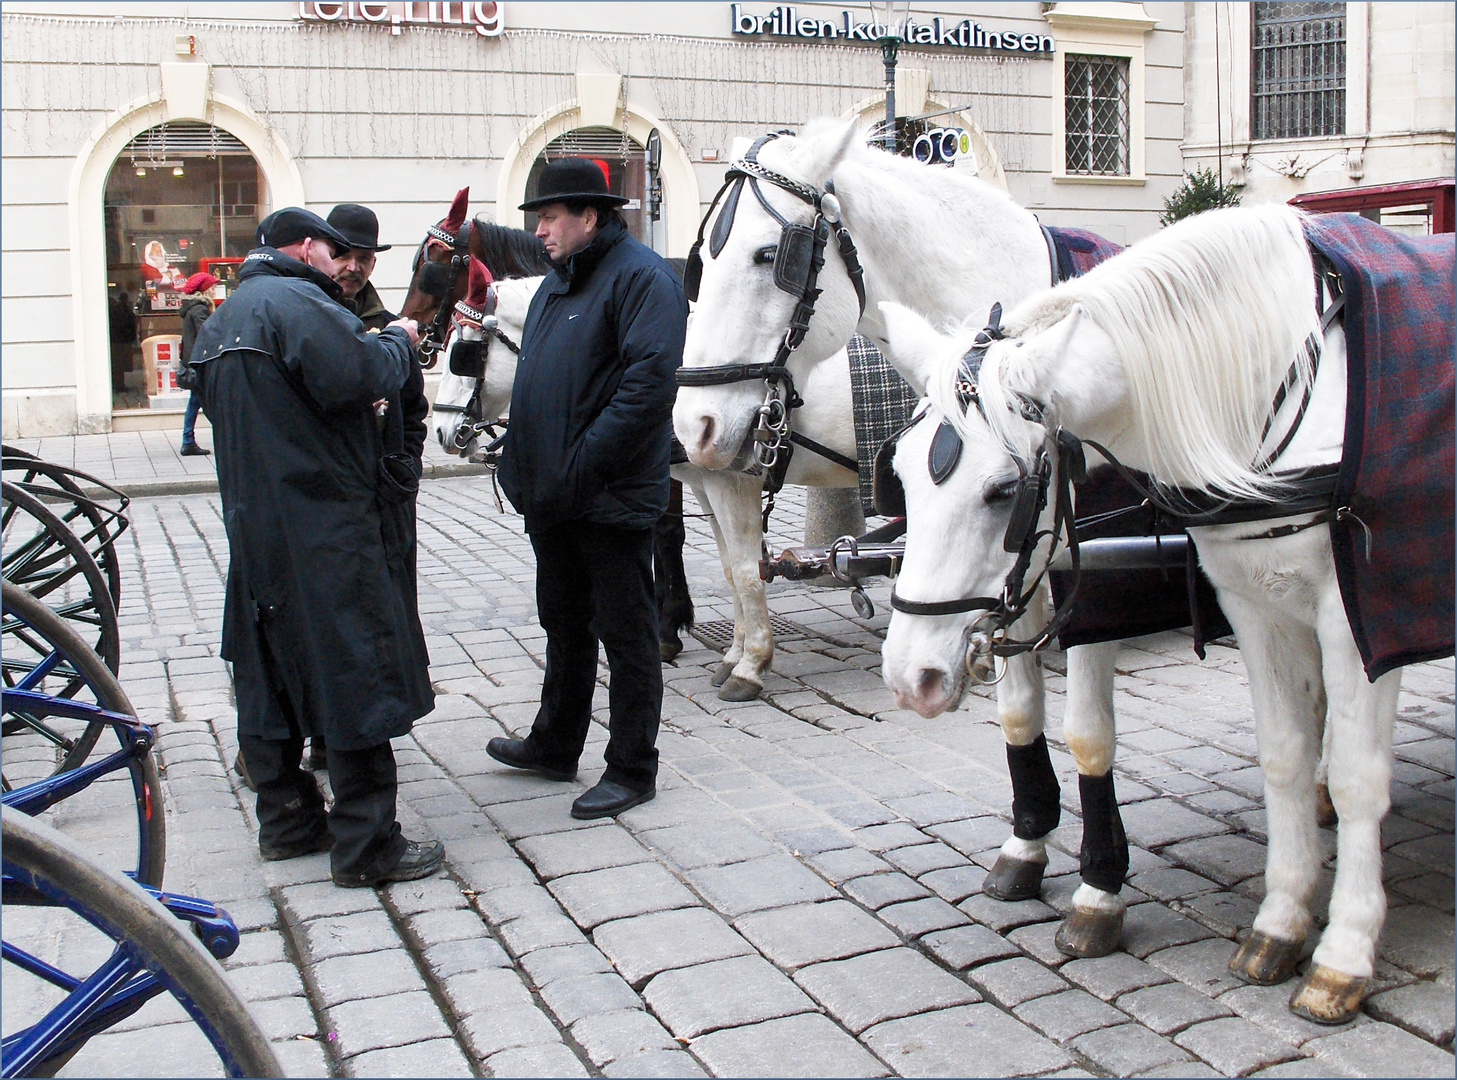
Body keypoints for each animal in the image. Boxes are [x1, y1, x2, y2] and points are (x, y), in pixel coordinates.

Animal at [874, 204, 1457, 1026]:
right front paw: (1281, 921)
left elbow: (1357, 778)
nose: (909, 676)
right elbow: (1282, 754)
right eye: (897, 475)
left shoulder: (1357, 616)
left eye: (1001, 491)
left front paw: (1342, 953)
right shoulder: (1253, 603)